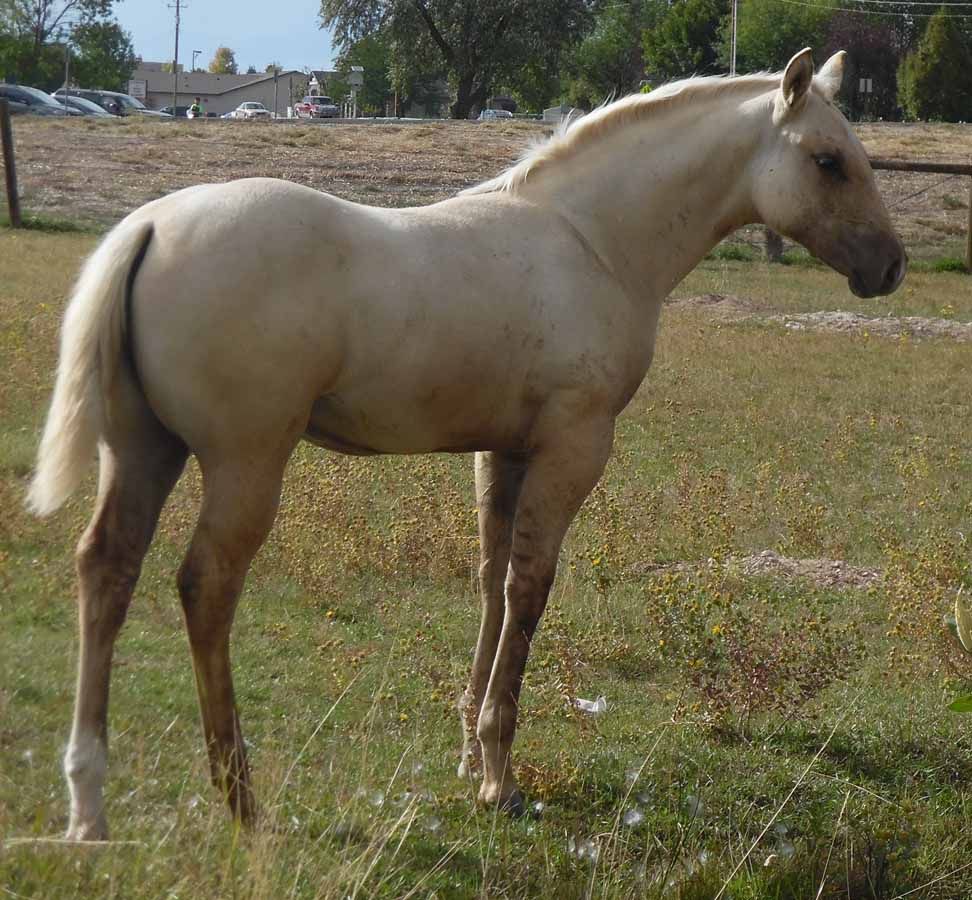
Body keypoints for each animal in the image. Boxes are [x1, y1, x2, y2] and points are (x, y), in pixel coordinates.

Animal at [29, 48, 905, 841]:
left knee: (105, 571)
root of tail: (149, 225)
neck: (592, 241)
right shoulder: (572, 449)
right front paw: (499, 778)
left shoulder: (502, 452)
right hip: (245, 464)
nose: (890, 267)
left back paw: (88, 807)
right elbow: (528, 591)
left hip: (144, 453)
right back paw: (242, 802)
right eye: (827, 161)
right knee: (206, 587)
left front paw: (466, 752)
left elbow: (489, 582)